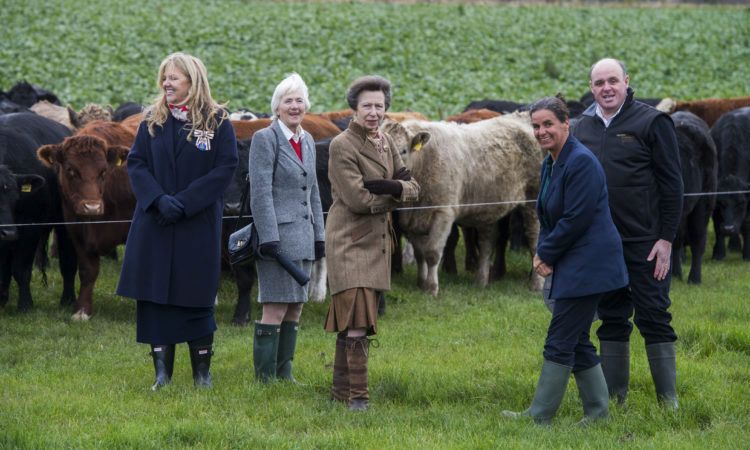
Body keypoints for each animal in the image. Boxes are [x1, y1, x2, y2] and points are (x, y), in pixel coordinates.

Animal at [0, 112, 76, 312]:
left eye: (15, 198)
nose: (7, 232)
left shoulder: (30, 227)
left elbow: (21, 269)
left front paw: (25, 305)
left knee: (68, 262)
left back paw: (68, 300)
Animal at [37, 119, 135, 320]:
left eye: (104, 171)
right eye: (70, 170)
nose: (92, 207)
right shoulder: (76, 230)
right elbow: (87, 270)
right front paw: (82, 310)